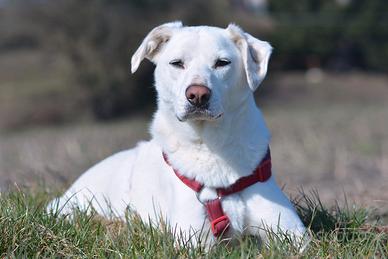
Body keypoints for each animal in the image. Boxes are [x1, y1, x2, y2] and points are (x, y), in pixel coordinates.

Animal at [48, 22, 308, 248]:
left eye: (222, 63)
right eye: (177, 63)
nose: (198, 95)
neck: (210, 148)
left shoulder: (291, 232)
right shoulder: (192, 240)